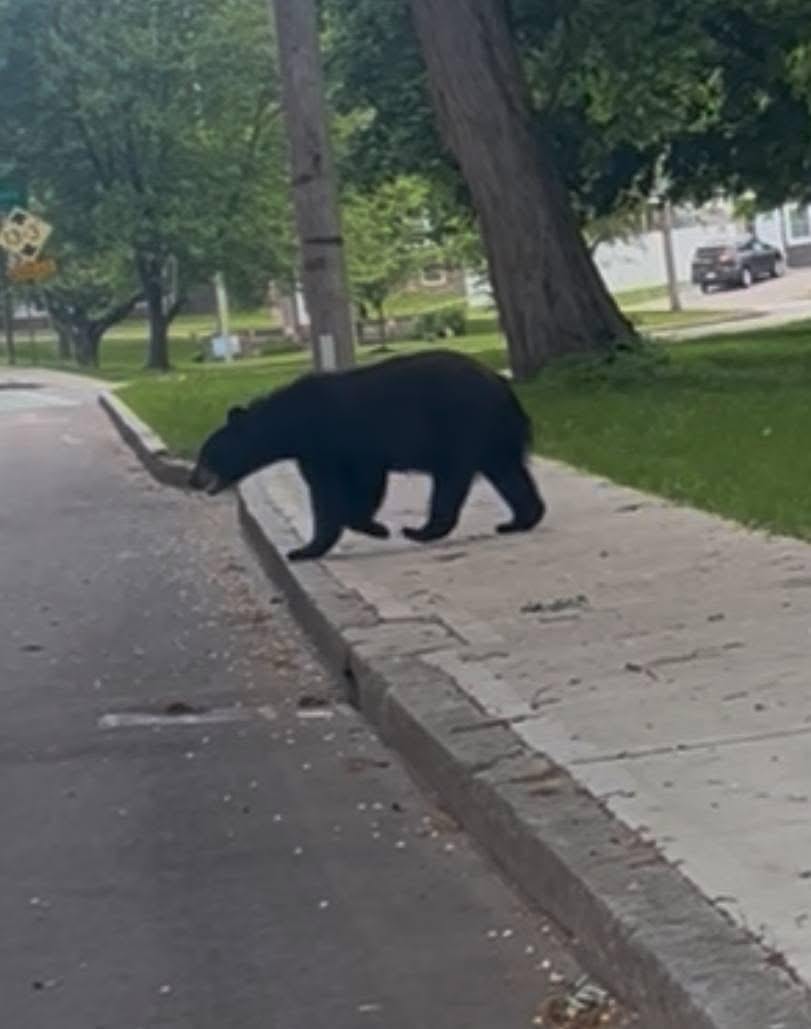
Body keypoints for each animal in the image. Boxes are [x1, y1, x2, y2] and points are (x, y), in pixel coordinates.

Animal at [188, 350, 545, 561]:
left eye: (205, 456)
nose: (193, 480)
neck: (295, 422)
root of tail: (504, 387)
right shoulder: (317, 452)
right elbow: (331, 493)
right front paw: (310, 547)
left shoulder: (340, 442)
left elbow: (353, 487)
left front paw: (369, 528)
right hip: (492, 436)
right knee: (508, 472)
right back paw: (518, 520)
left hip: (462, 426)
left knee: (452, 479)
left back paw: (420, 530)